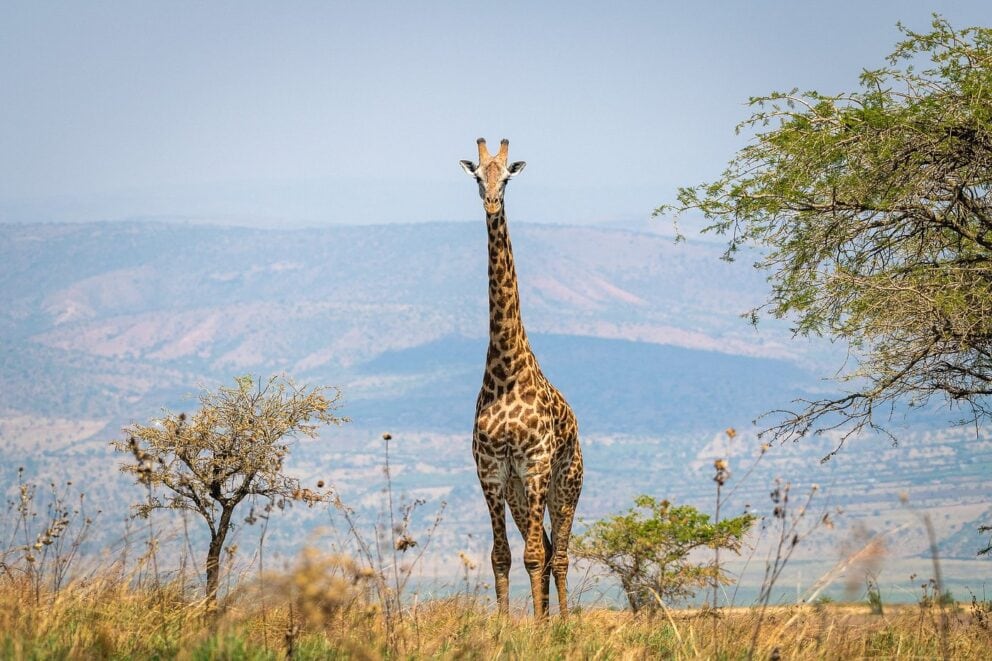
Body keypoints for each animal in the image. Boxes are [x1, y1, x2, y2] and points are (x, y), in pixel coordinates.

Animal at [459, 138, 583, 619]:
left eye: (507, 178)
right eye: (478, 176)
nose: (492, 203)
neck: (507, 369)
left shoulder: (534, 465)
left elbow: (531, 556)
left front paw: (539, 627)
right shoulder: (492, 472)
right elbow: (503, 555)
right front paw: (507, 625)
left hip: (566, 483)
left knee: (559, 552)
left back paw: (563, 622)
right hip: (519, 492)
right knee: (546, 548)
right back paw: (547, 618)